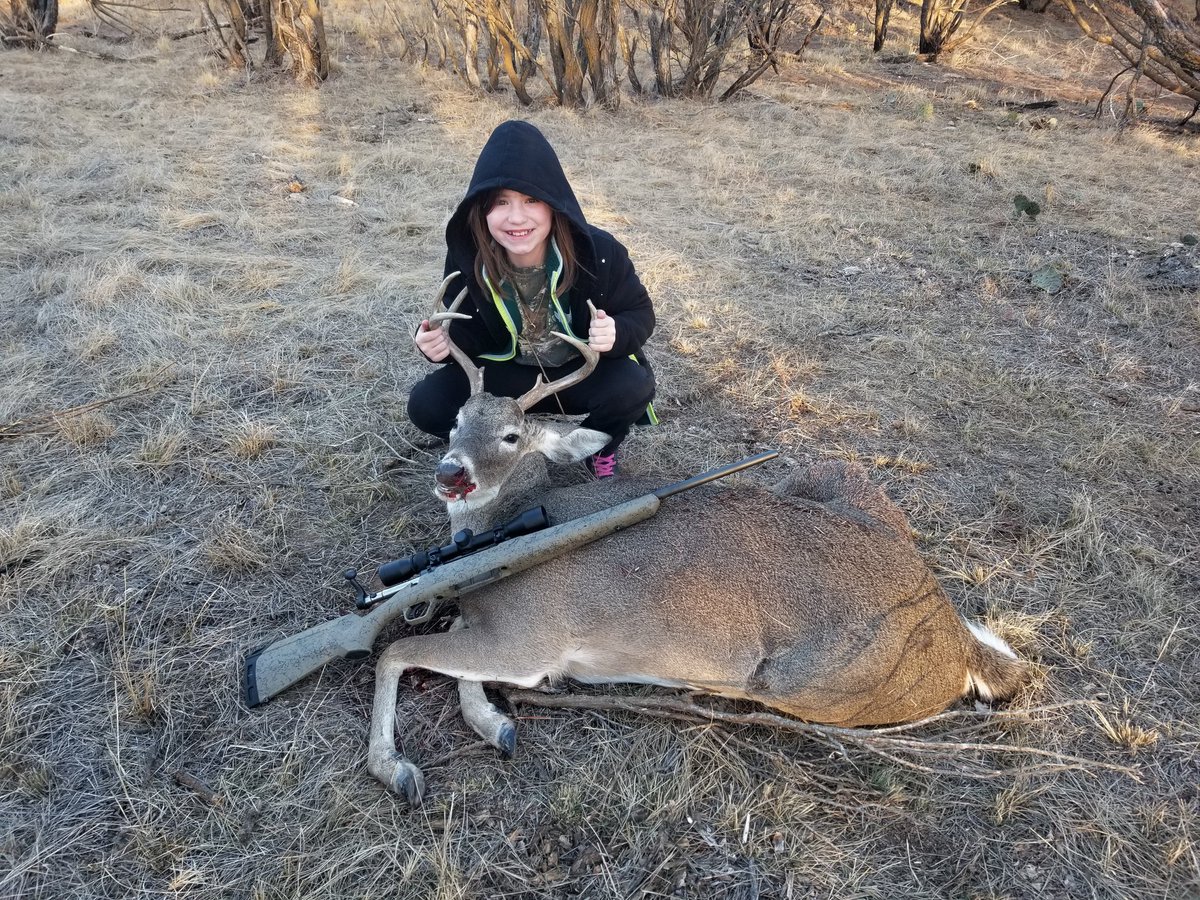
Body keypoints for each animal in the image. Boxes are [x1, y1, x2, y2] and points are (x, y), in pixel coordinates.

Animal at [367, 277, 1031, 805]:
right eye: (457, 421)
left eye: (510, 436)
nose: (451, 473)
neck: (500, 525)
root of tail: (952, 633)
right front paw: (492, 724)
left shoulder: (528, 639)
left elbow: (394, 652)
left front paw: (398, 765)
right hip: (832, 474)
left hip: (809, 682)